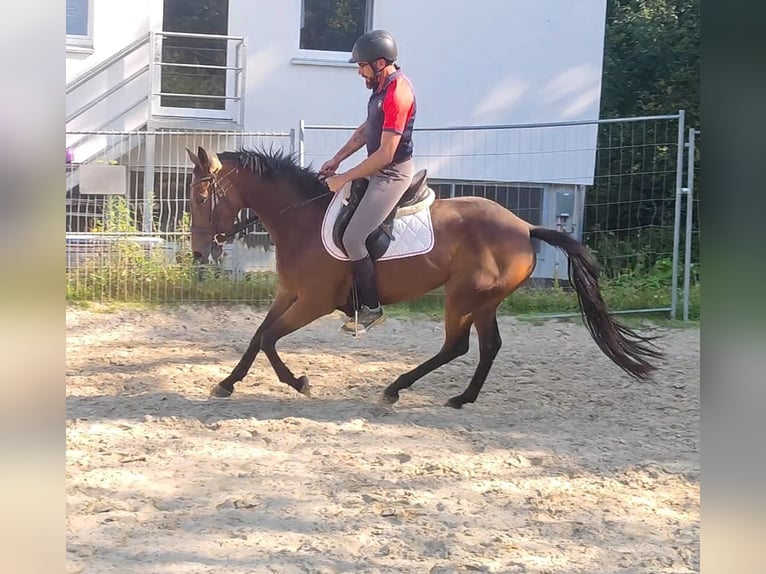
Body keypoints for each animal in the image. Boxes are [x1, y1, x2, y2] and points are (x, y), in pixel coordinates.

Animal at [186, 147, 664, 410]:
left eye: (200, 196)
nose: (198, 253)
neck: (300, 217)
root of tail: (525, 227)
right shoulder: (290, 293)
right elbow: (257, 337)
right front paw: (226, 383)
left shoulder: (313, 301)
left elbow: (269, 339)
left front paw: (299, 382)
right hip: (484, 302)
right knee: (488, 347)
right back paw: (461, 398)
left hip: (462, 296)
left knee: (457, 346)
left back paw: (395, 389)